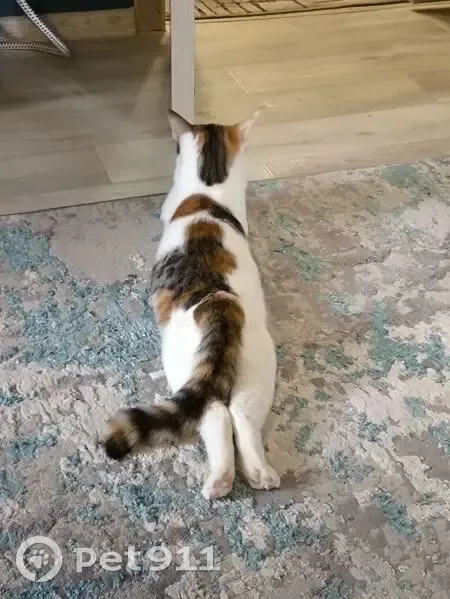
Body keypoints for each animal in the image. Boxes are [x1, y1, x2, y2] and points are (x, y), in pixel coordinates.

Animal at [103, 109, 280, 500]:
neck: (207, 189)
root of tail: (220, 302)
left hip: (183, 363)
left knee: (215, 416)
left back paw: (219, 480)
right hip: (257, 367)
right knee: (241, 416)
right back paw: (257, 474)